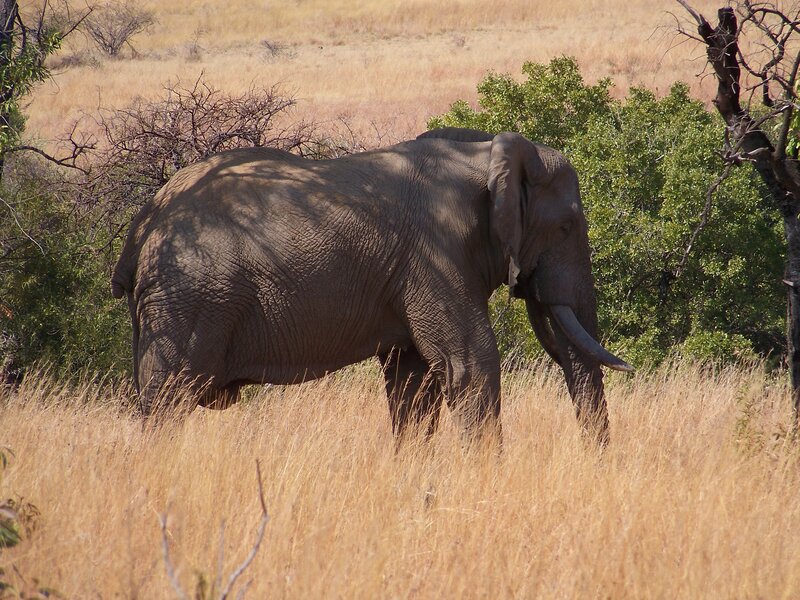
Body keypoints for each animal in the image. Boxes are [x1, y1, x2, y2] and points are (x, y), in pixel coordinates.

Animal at [111, 127, 632, 444]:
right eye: (566, 227)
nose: (596, 465)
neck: (485, 153)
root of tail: (144, 221)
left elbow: (411, 381)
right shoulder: (433, 254)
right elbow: (470, 363)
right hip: (188, 296)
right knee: (169, 398)